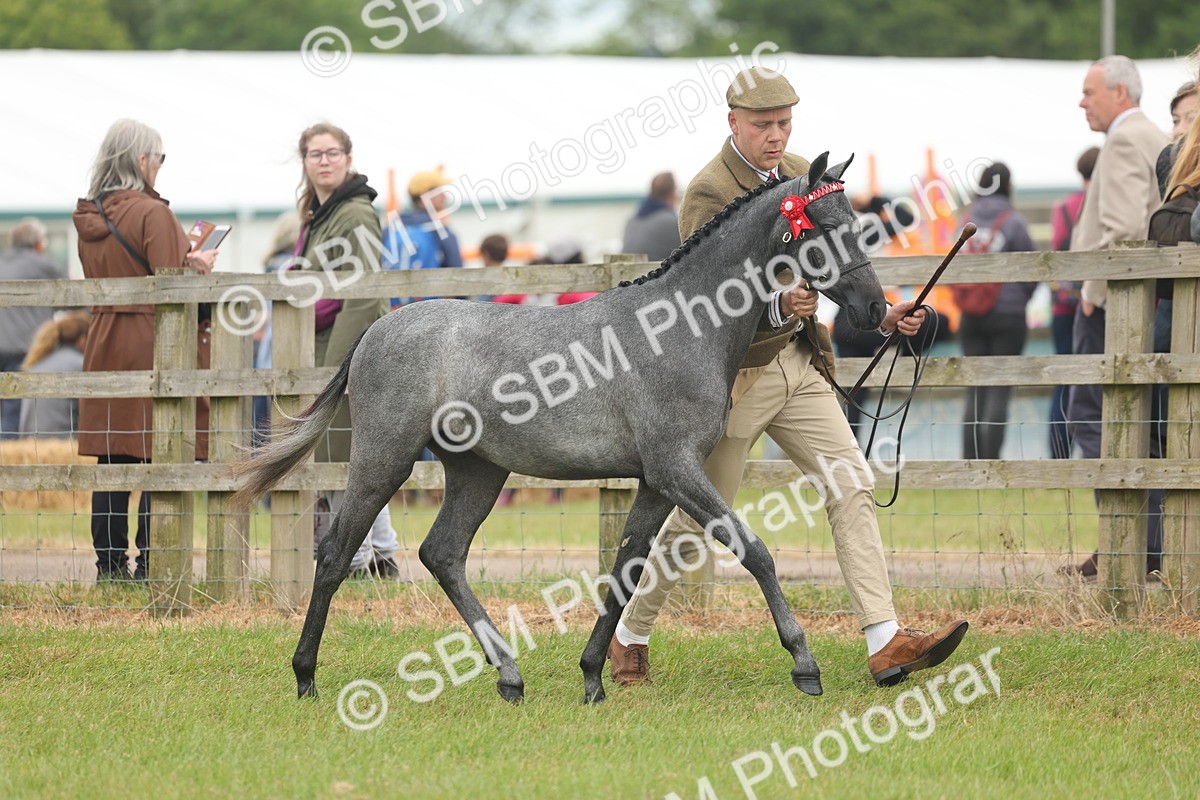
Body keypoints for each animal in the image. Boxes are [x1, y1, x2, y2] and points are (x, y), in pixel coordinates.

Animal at [234, 152, 888, 704]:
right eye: (822, 225)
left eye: (857, 221)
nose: (876, 308)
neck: (678, 328)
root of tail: (375, 331)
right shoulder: (677, 470)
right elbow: (755, 551)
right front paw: (805, 665)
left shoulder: (657, 482)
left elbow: (626, 570)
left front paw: (594, 676)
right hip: (383, 458)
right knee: (336, 552)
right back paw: (306, 678)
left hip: (477, 471)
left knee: (442, 553)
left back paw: (509, 676)